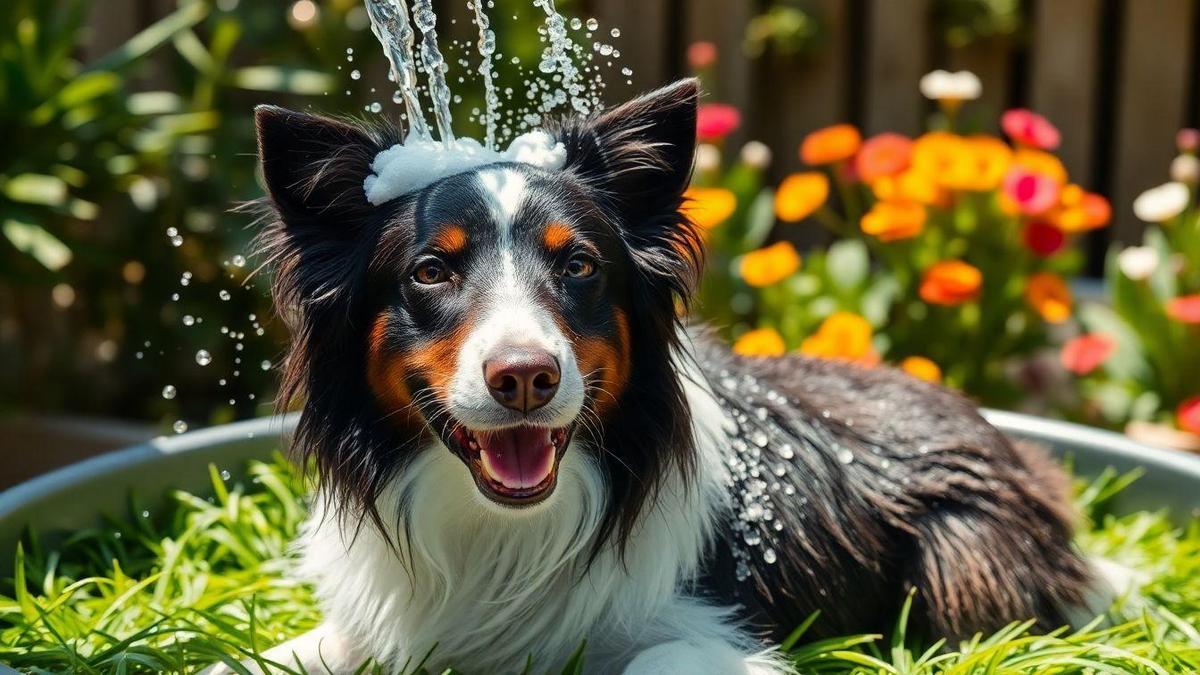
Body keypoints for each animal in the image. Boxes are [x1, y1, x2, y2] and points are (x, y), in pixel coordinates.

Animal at [238, 77, 1118, 667]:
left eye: (579, 264)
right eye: (430, 272)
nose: (525, 378)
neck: (503, 533)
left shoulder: (719, 629)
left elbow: (655, 656)